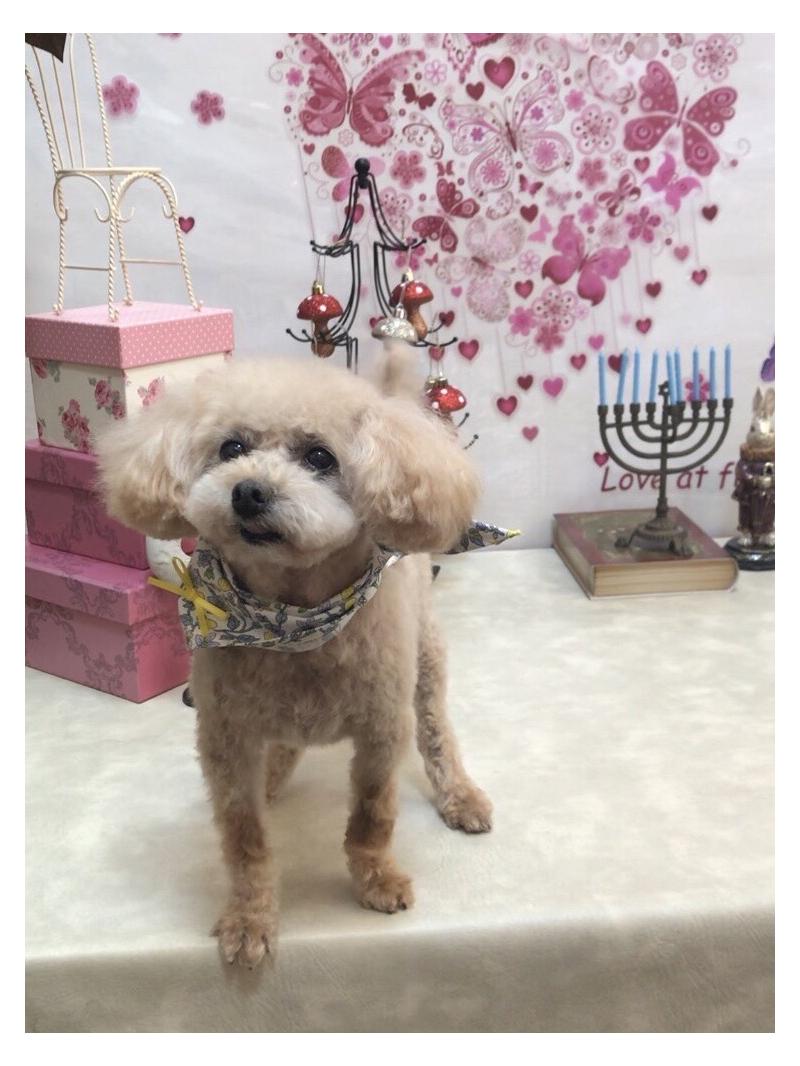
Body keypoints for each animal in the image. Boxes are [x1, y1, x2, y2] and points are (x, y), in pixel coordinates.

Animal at [97, 346, 494, 968]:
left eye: (319, 457)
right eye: (232, 448)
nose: (249, 492)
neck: (291, 618)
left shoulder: (382, 731)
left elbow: (372, 816)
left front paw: (376, 880)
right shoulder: (225, 737)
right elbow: (243, 837)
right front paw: (249, 918)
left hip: (426, 656)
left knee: (435, 728)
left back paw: (459, 793)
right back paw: (276, 774)